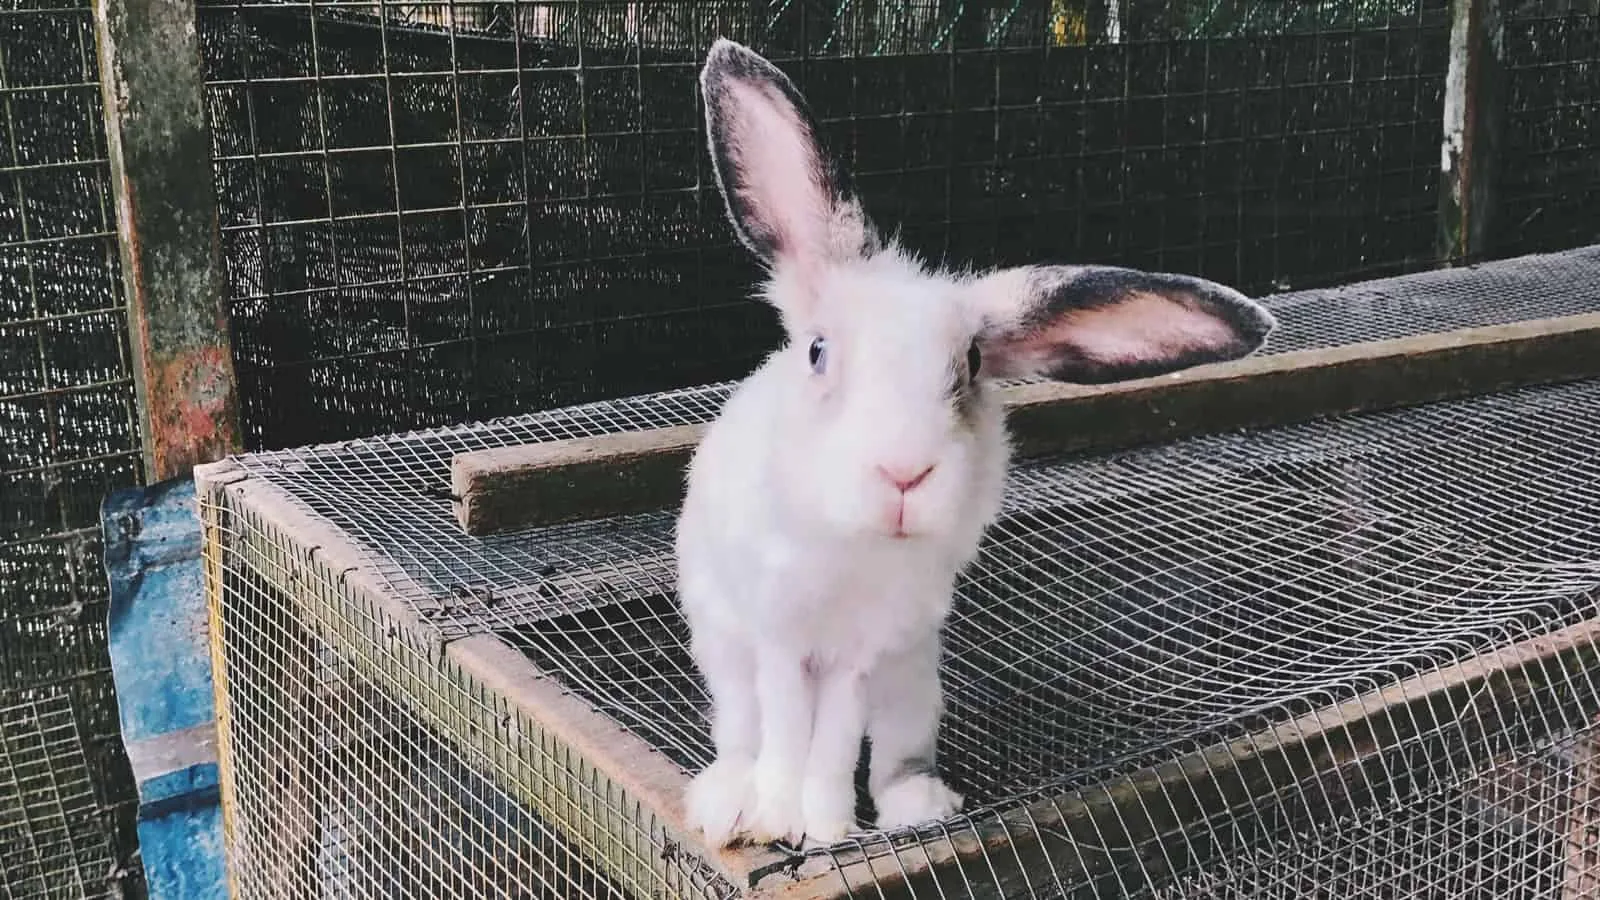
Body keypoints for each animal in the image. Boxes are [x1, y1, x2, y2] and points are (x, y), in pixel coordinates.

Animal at [674, 38, 1277, 850]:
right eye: (818, 352)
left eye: (970, 365)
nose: (904, 473)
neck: (854, 551)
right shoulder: (779, 635)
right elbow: (789, 733)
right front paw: (780, 820)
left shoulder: (866, 652)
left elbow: (832, 742)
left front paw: (828, 828)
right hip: (726, 654)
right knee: (742, 732)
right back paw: (729, 805)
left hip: (915, 680)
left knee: (893, 754)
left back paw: (916, 806)